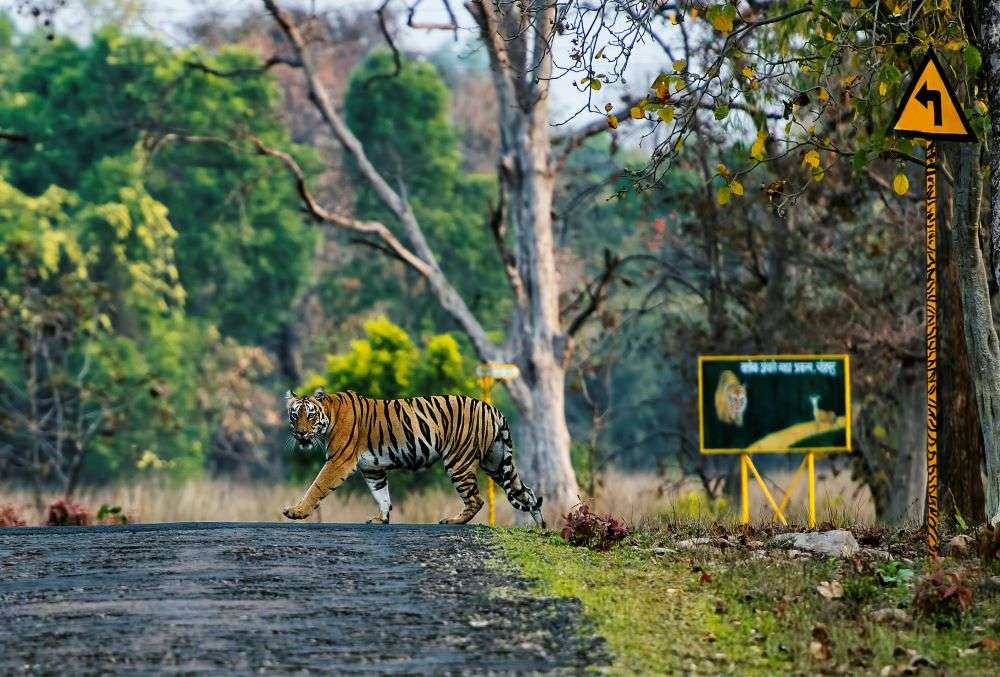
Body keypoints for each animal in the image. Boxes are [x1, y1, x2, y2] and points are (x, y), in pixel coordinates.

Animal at [282, 386, 548, 528]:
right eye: (295, 415)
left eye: (310, 416)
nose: (301, 433)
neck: (330, 416)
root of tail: (492, 408)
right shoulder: (372, 468)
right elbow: (382, 495)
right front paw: (382, 519)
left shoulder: (339, 461)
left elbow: (317, 486)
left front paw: (296, 512)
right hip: (496, 462)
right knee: (526, 492)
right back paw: (541, 527)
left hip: (459, 461)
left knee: (476, 499)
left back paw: (453, 521)